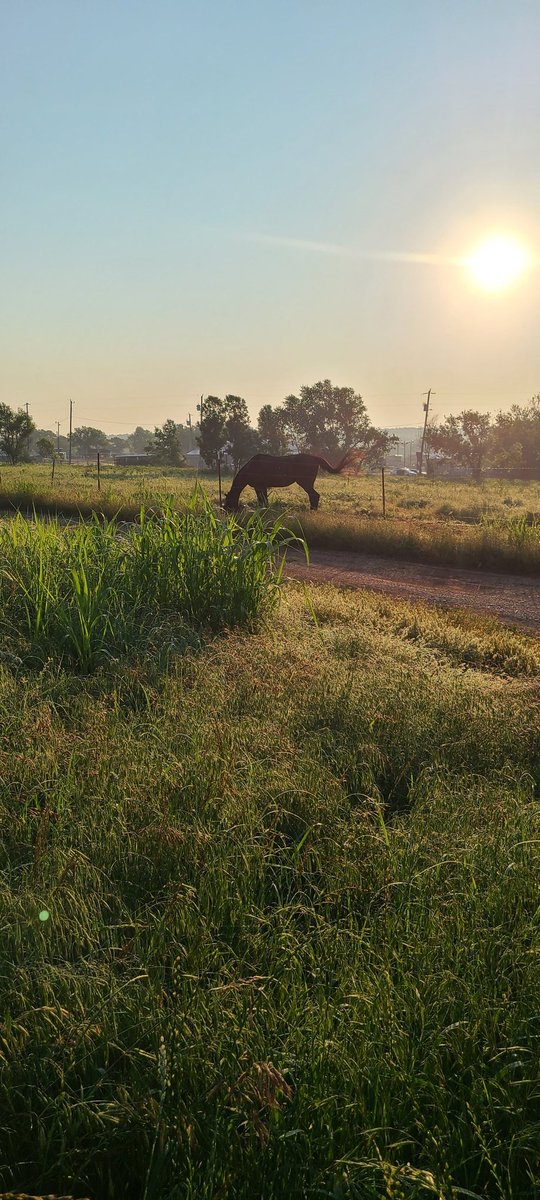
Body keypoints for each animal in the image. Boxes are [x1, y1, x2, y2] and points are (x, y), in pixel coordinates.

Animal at [223, 448, 362, 508]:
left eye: (228, 501)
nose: (228, 511)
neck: (252, 467)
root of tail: (315, 458)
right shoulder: (261, 487)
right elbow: (263, 500)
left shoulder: (259, 486)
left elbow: (262, 500)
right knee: (314, 496)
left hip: (305, 483)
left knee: (314, 495)